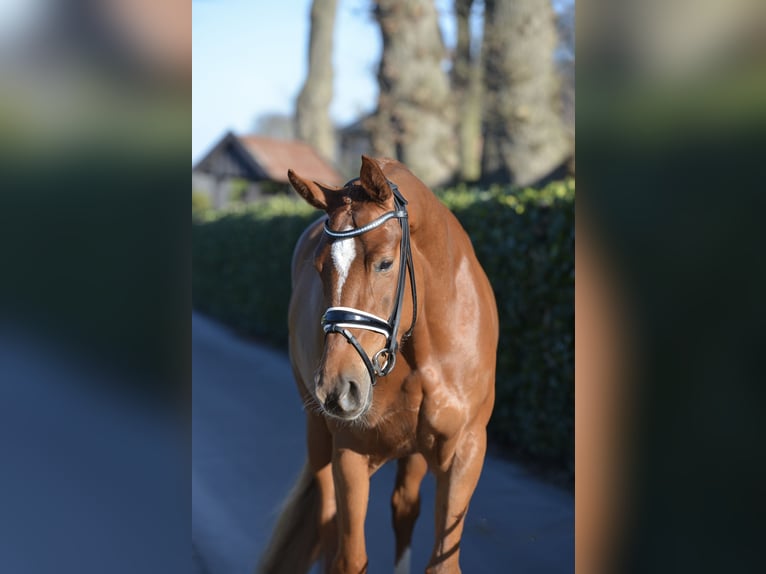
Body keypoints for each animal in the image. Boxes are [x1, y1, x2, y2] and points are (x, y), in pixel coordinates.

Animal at [258, 156, 499, 574]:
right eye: (320, 268)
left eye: (385, 263)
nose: (337, 389)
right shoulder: (349, 454)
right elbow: (350, 557)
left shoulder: (466, 452)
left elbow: (442, 561)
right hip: (319, 437)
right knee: (328, 523)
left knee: (403, 508)